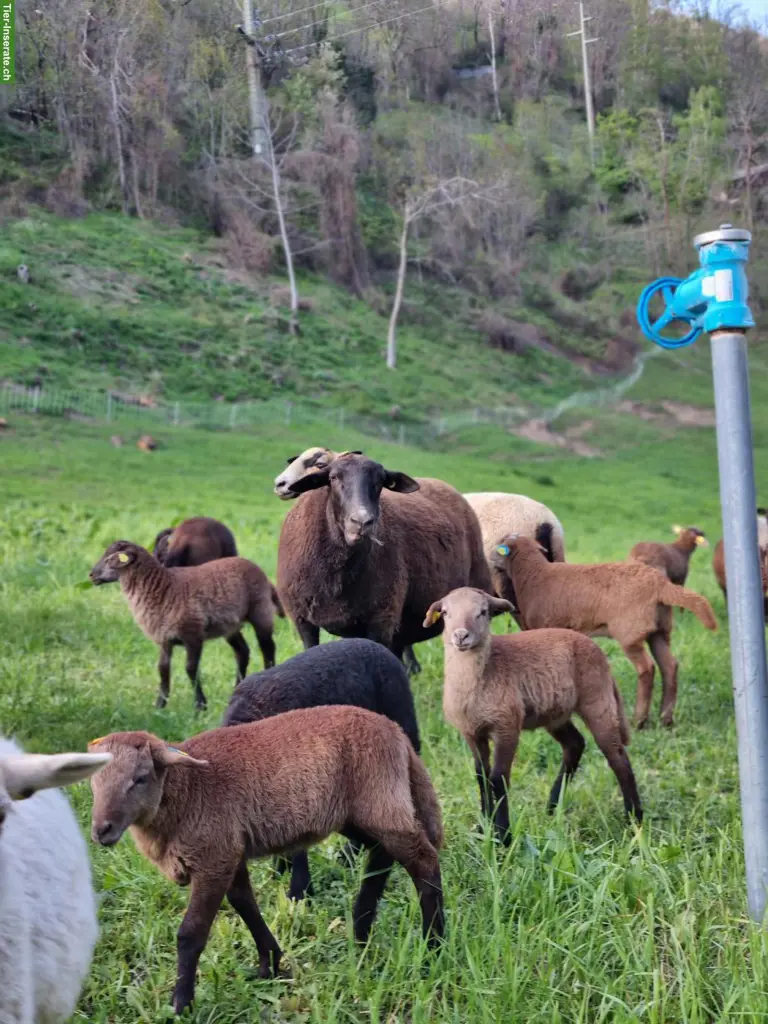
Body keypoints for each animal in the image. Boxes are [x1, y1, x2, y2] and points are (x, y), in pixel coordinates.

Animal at [88, 708, 444, 1016]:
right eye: (93, 781)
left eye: (140, 778)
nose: (101, 830)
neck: (185, 791)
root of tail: (396, 732)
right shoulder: (230, 853)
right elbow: (245, 903)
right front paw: (269, 963)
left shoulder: (214, 857)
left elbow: (191, 933)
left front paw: (181, 1004)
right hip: (359, 812)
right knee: (382, 854)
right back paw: (361, 928)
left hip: (380, 801)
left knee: (424, 862)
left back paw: (433, 946)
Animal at [89, 540, 284, 710]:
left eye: (110, 559)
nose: (91, 575)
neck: (164, 587)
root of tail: (263, 575)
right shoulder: (164, 639)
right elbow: (163, 669)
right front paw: (160, 705)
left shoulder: (193, 635)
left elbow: (191, 669)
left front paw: (200, 705)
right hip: (230, 626)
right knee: (242, 651)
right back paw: (236, 688)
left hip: (260, 611)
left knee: (268, 648)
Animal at [425, 588, 642, 841]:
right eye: (445, 613)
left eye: (483, 612)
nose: (460, 636)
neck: (484, 671)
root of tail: (597, 649)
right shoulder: (471, 732)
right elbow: (482, 776)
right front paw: (484, 827)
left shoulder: (507, 726)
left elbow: (498, 778)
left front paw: (503, 835)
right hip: (555, 713)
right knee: (575, 744)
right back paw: (552, 807)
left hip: (597, 700)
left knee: (618, 757)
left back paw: (634, 819)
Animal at [491, 530, 718, 730]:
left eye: (501, 546)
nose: (491, 560)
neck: (534, 575)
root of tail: (661, 584)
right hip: (659, 631)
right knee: (669, 666)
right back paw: (665, 719)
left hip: (630, 633)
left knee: (647, 668)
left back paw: (639, 720)